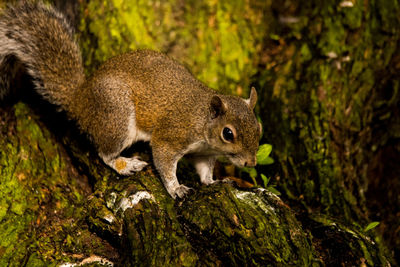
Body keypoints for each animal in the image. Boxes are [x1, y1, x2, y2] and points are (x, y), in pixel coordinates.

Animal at [0, 1, 260, 199]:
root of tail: (80, 101)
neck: (202, 119)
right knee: (105, 154)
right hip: (117, 116)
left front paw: (214, 182)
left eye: (259, 128)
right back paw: (126, 165)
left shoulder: (204, 152)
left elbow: (204, 169)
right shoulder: (171, 135)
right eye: (228, 133)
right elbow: (164, 161)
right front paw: (176, 188)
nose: (251, 163)